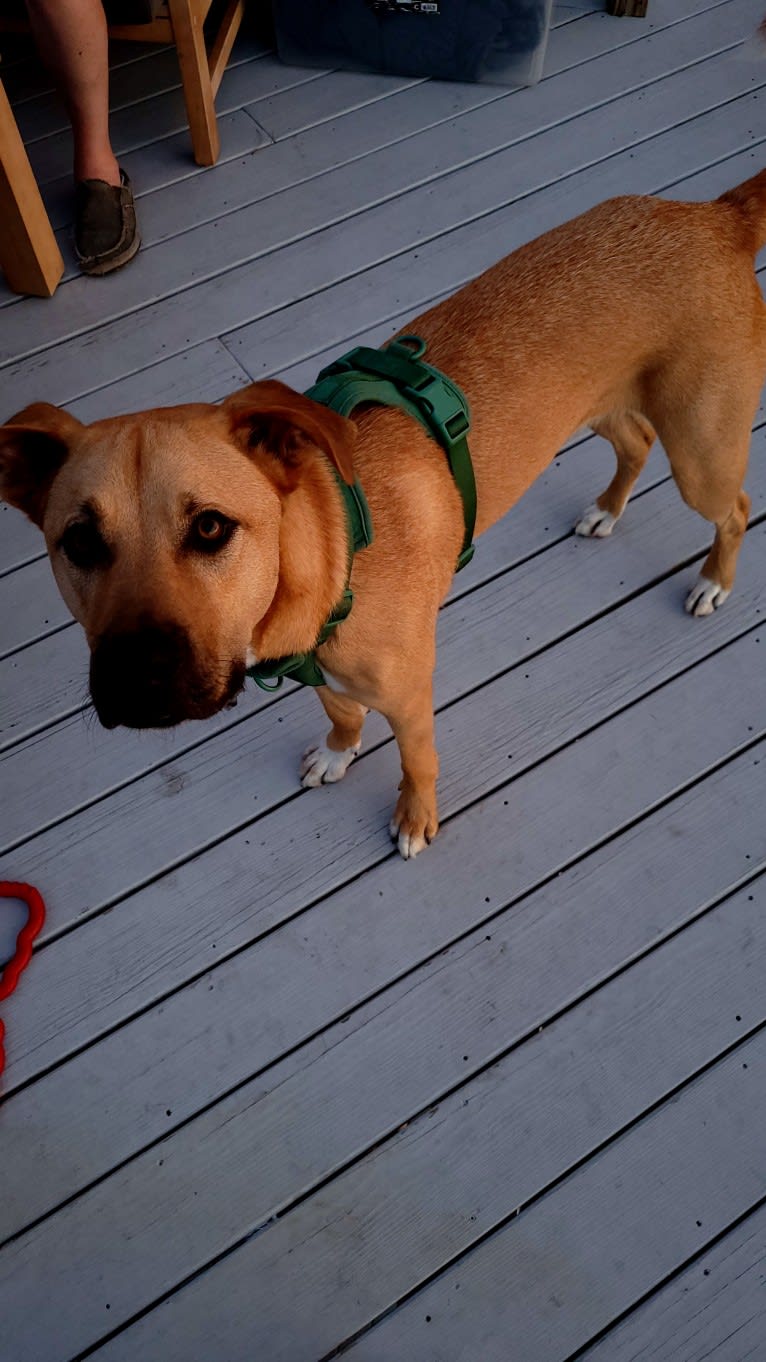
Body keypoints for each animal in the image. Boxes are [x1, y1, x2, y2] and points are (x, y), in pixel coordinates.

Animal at [1, 167, 763, 849]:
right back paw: (607, 508)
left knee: (735, 506)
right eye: (79, 542)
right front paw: (340, 750)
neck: (327, 554)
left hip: (701, 452)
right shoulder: (322, 671)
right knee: (635, 440)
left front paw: (415, 817)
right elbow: (340, 711)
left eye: (211, 527)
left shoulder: (409, 693)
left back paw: (713, 581)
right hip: (600, 404)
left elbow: (416, 759)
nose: (137, 679)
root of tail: (715, 216)